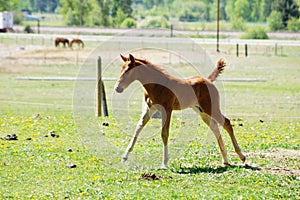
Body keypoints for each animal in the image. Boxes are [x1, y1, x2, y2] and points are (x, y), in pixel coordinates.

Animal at [115, 54, 246, 168]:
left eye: (127, 71)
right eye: (121, 69)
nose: (117, 88)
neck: (156, 85)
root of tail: (208, 80)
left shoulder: (167, 110)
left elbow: (164, 133)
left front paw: (164, 163)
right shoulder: (150, 109)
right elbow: (138, 128)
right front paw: (124, 157)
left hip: (210, 108)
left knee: (227, 122)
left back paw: (241, 156)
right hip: (201, 111)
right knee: (215, 127)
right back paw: (225, 159)